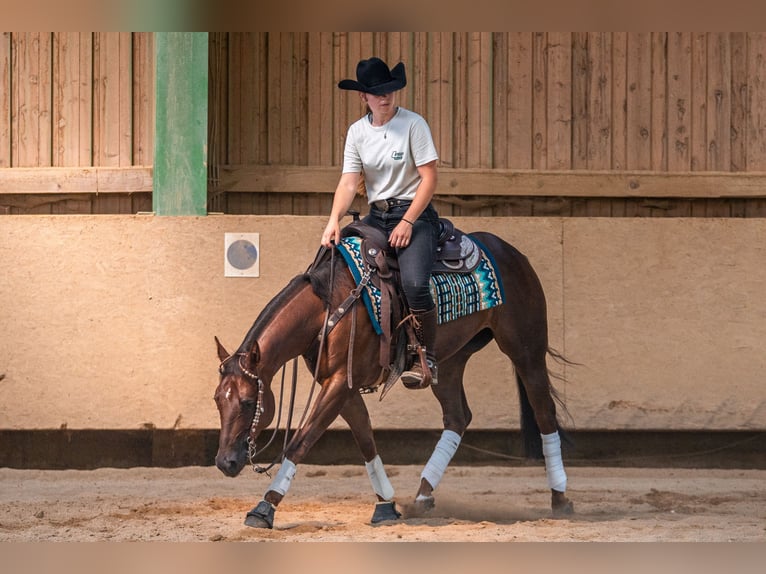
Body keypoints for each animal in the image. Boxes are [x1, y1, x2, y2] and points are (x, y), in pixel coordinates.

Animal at [213, 223, 573, 529]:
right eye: (218, 400)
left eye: (248, 402)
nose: (225, 462)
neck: (330, 307)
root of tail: (511, 252)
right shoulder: (343, 386)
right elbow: (366, 440)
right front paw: (386, 505)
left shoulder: (339, 385)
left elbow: (301, 443)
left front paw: (264, 507)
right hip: (450, 362)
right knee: (457, 417)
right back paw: (423, 496)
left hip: (526, 351)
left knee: (544, 414)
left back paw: (560, 499)